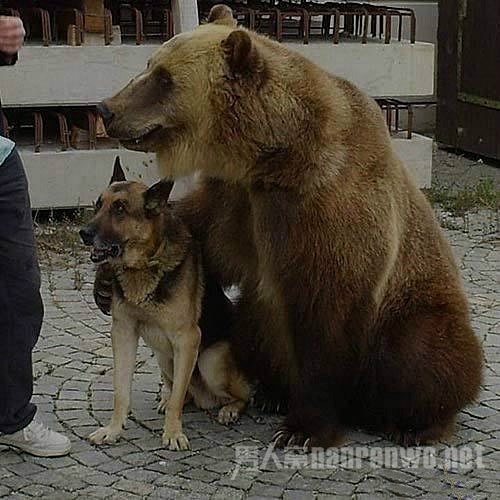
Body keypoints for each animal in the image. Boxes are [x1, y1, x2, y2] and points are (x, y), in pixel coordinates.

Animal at [80, 158, 252, 452]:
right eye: (98, 204)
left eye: (120, 209)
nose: (83, 233)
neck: (144, 264)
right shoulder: (123, 333)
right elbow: (120, 391)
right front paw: (113, 430)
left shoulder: (188, 339)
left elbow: (176, 404)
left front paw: (172, 433)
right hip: (164, 356)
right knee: (181, 391)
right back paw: (168, 397)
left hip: (210, 360)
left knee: (242, 394)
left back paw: (229, 409)